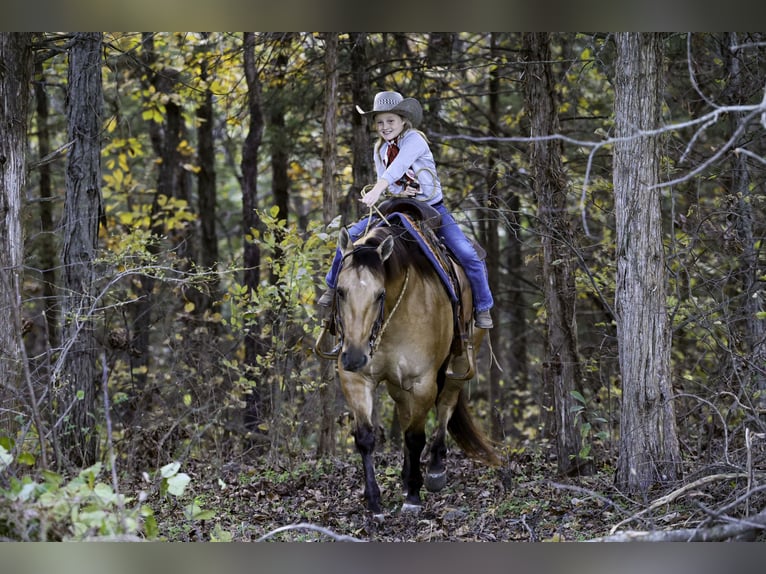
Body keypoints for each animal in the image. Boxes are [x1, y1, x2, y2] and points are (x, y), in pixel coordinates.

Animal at [317, 206, 499, 517]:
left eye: (379, 294)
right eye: (340, 291)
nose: (354, 356)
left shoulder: (422, 381)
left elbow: (416, 437)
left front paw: (413, 496)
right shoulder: (355, 378)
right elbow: (366, 437)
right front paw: (374, 501)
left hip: (459, 362)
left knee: (446, 404)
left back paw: (435, 469)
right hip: (397, 384)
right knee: (404, 416)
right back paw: (404, 477)